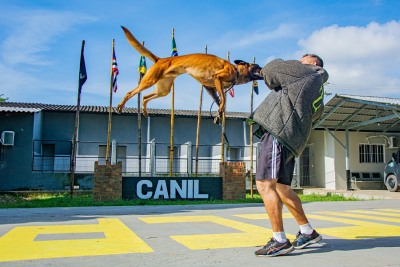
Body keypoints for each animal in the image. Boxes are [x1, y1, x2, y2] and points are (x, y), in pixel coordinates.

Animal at [117, 25, 264, 124]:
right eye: (257, 66)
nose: (263, 68)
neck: (236, 70)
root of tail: (160, 59)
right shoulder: (216, 78)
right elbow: (223, 99)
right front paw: (220, 112)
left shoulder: (210, 88)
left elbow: (220, 102)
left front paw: (218, 115)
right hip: (149, 81)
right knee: (130, 93)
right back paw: (120, 106)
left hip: (163, 90)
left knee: (145, 97)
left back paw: (145, 111)